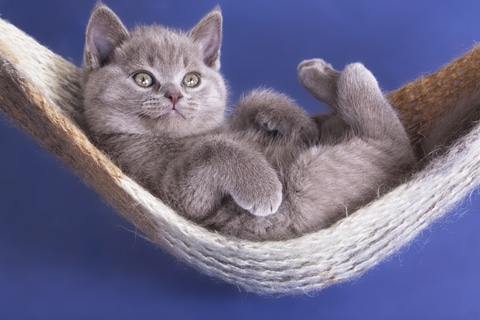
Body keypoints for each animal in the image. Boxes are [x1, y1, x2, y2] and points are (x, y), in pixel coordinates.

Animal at [80, 4, 414, 240]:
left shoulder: (229, 123)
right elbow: (214, 149)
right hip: (315, 175)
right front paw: (264, 188)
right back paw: (331, 72)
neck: (181, 138)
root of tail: (404, 172)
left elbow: (249, 103)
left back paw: (317, 74)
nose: (174, 95)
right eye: (143, 79)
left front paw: (296, 121)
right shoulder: (173, 191)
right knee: (390, 133)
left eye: (191, 80)